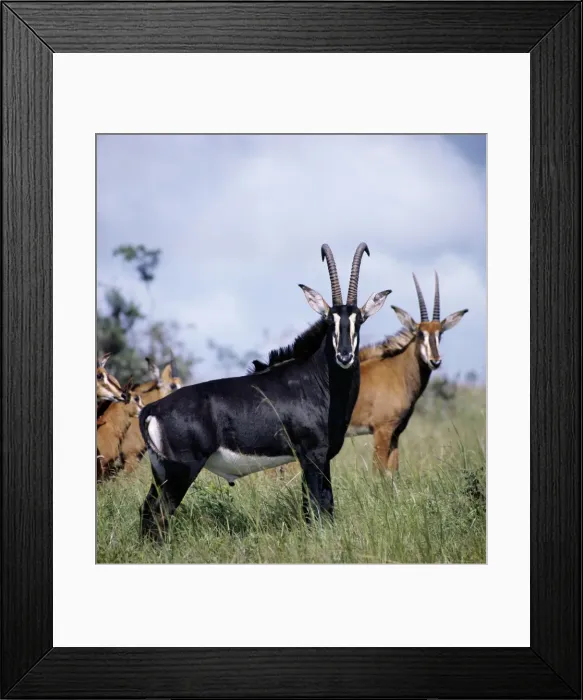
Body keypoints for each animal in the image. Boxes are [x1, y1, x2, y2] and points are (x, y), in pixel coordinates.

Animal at [139, 243, 390, 540]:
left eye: (358, 320)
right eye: (330, 321)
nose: (344, 356)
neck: (320, 382)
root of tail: (152, 408)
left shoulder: (317, 458)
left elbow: (318, 507)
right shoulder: (313, 455)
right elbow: (319, 506)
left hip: (161, 472)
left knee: (147, 511)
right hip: (181, 471)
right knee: (160, 513)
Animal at [348, 271, 468, 473]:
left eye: (440, 334)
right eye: (420, 333)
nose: (435, 361)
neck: (398, 372)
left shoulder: (396, 433)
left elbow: (393, 472)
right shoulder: (382, 430)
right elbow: (379, 472)